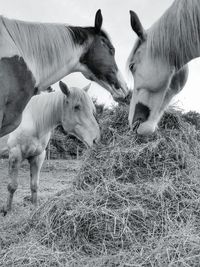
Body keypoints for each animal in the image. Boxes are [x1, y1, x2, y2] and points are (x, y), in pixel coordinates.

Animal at [0, 80, 99, 215]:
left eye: (91, 108)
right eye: (76, 107)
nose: (96, 139)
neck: (33, 120)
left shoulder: (38, 157)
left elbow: (34, 185)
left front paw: (34, 209)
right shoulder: (15, 154)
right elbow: (12, 186)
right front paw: (7, 211)